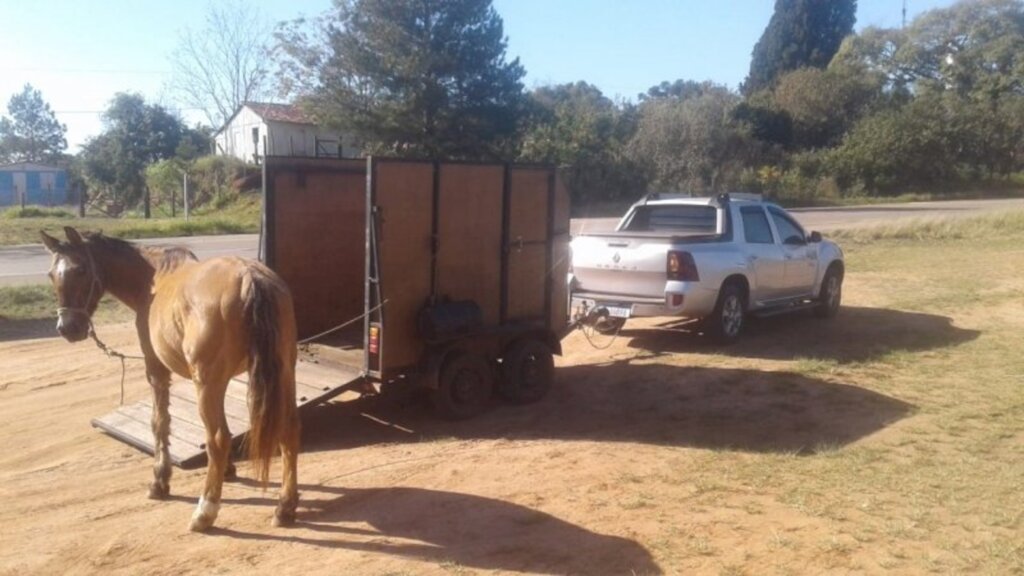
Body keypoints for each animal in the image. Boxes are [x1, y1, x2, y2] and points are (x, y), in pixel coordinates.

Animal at [44, 226, 299, 532]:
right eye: (51, 274)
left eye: (81, 269)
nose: (68, 328)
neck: (152, 280)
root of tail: (250, 278)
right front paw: (227, 471)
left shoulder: (157, 370)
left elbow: (160, 423)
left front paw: (159, 481)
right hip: (282, 373)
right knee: (287, 430)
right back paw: (285, 506)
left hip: (207, 382)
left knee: (217, 438)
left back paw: (205, 511)